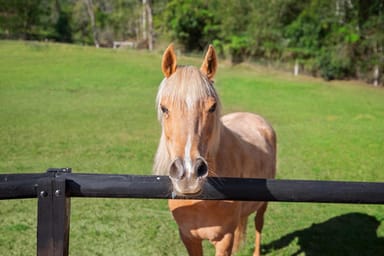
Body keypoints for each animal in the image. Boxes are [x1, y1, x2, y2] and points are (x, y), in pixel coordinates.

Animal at [153, 44, 276, 256]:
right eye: (164, 108)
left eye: (212, 107)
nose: (189, 175)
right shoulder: (189, 238)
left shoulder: (224, 239)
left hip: (263, 205)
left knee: (259, 223)